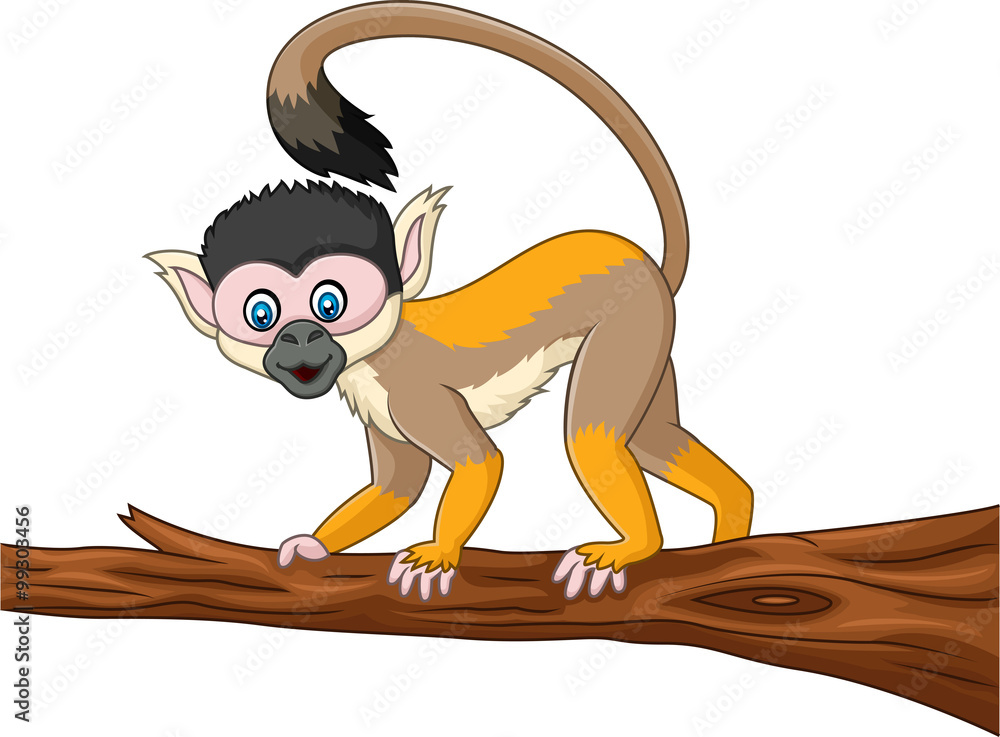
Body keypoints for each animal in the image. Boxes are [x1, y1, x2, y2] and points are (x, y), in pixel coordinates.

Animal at [148, 1, 753, 602]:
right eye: (262, 315)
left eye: (329, 304)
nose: (300, 336)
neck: (372, 357)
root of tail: (640, 260)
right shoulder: (373, 400)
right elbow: (395, 487)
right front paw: (315, 546)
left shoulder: (409, 390)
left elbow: (481, 462)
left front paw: (439, 553)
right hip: (653, 334)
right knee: (650, 437)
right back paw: (732, 522)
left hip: (630, 324)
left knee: (594, 438)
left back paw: (639, 545)